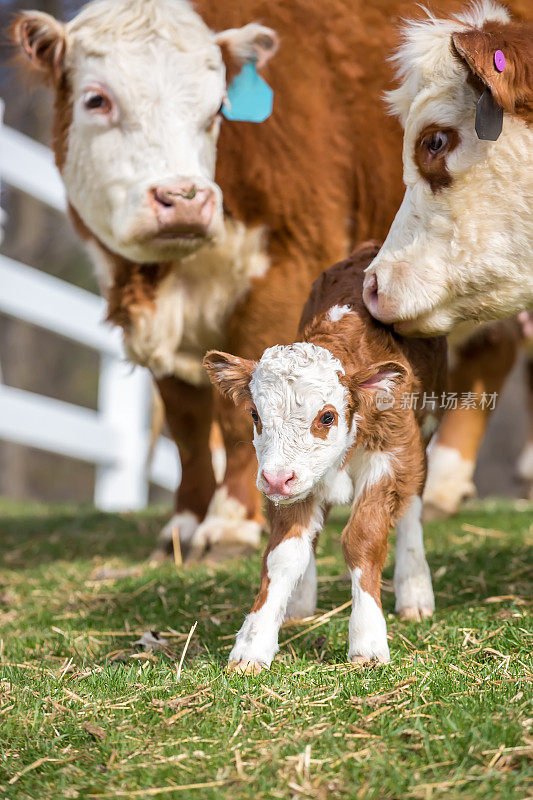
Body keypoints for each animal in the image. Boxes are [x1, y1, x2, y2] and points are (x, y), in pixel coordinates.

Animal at [204, 241, 444, 672]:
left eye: (327, 416)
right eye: (255, 415)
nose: (275, 480)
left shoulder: (391, 454)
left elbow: (363, 539)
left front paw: (368, 640)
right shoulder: (289, 482)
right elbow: (282, 555)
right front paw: (253, 644)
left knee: (412, 504)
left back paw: (415, 589)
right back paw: (299, 602)